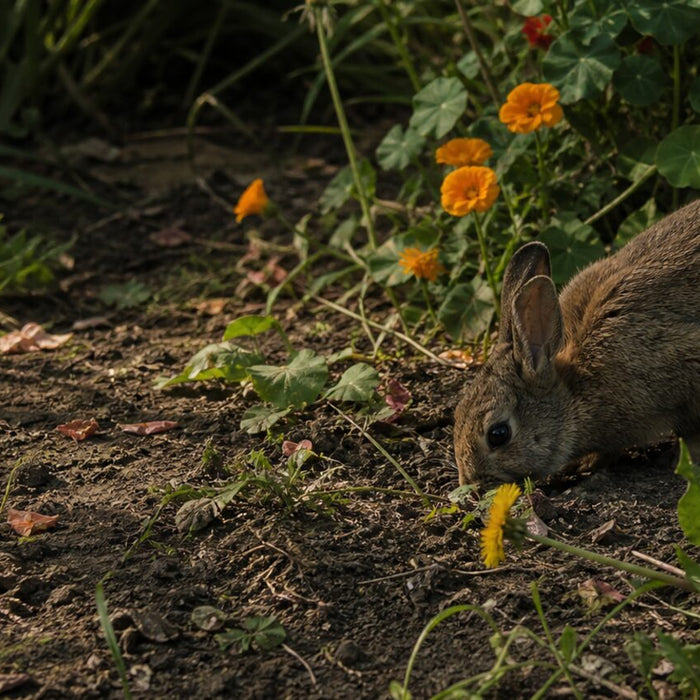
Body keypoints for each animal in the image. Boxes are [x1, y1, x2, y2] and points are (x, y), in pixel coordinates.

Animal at [453, 198, 700, 486]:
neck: (575, 388)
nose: (469, 482)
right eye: (456, 414)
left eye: (498, 434)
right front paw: (585, 463)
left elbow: (690, 433)